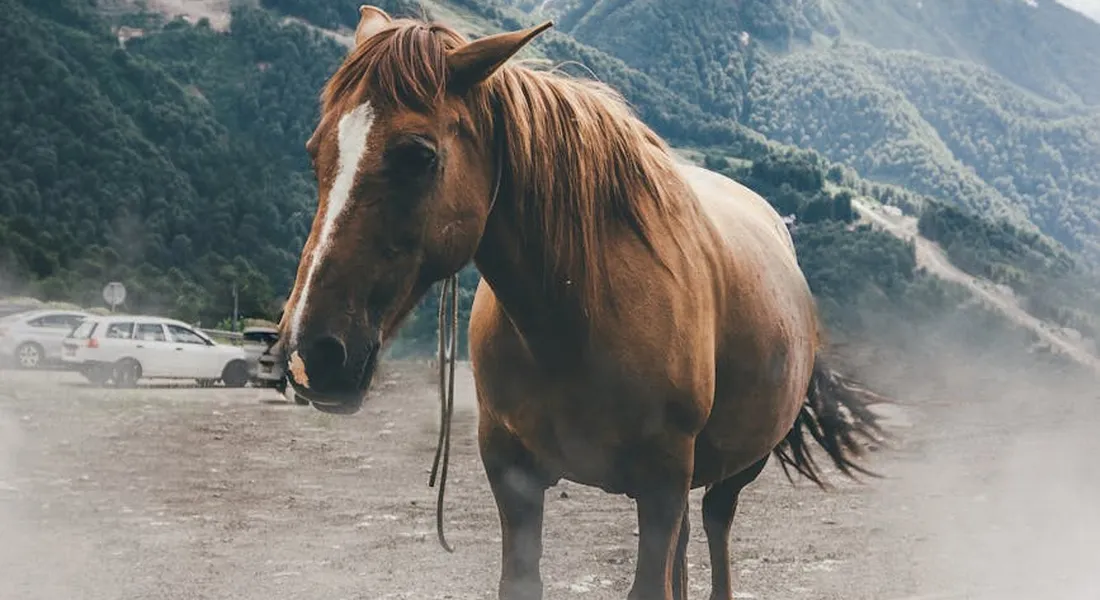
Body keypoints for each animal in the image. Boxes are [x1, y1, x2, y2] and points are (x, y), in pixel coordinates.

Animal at [276, 6, 886, 599]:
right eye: (314, 152)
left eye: (418, 155)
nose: (311, 353)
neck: (580, 316)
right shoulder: (513, 474)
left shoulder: (663, 479)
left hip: (740, 463)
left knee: (716, 523)